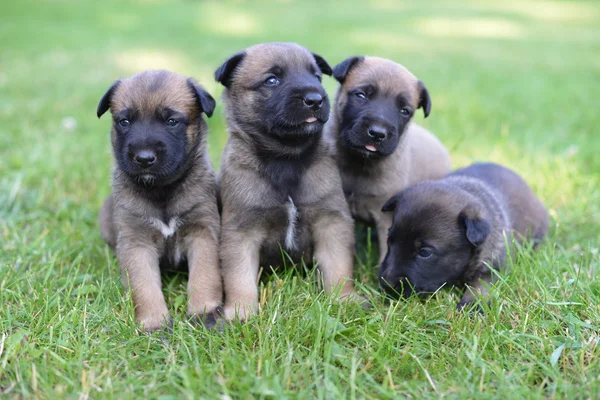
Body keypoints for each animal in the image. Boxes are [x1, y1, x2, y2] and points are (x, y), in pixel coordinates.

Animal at [96, 69, 223, 332]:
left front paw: (205, 312)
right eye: (124, 122)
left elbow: (205, 275)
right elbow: (144, 286)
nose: (144, 158)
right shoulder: (136, 241)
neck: (161, 191)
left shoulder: (202, 232)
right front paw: (155, 324)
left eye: (171, 121)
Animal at [214, 42, 356, 320]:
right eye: (272, 80)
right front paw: (241, 312)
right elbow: (239, 276)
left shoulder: (331, 222)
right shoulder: (241, 231)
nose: (315, 99)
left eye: (316, 76)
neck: (286, 159)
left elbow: (338, 267)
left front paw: (344, 300)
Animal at [380, 162, 548, 310]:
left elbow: (481, 285)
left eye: (425, 253)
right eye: (389, 240)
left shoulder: (493, 265)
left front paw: (472, 304)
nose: (387, 284)